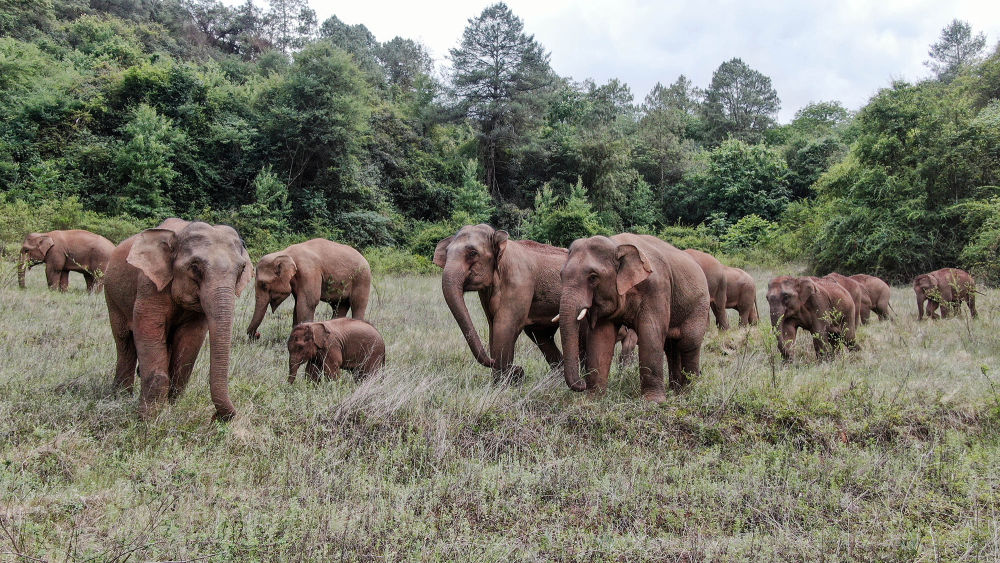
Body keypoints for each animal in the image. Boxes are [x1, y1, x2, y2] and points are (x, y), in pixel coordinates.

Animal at [104, 218, 252, 420]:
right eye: (195, 266)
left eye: (242, 269)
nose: (216, 417)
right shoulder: (149, 284)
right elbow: (147, 327)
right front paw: (148, 418)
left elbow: (190, 340)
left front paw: (171, 407)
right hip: (112, 296)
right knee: (124, 342)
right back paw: (120, 396)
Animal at [432, 225, 572, 384]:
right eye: (447, 253)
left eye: (473, 253)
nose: (519, 370)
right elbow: (493, 327)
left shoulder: (519, 281)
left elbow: (504, 326)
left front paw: (503, 383)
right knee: (541, 335)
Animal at [560, 235, 716, 400]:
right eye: (561, 275)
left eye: (593, 277)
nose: (581, 383)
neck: (617, 245)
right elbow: (601, 338)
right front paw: (593, 398)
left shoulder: (657, 288)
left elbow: (650, 334)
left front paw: (654, 401)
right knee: (672, 347)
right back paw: (676, 392)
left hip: (699, 305)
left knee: (689, 343)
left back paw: (688, 393)